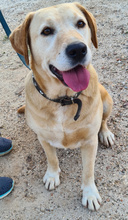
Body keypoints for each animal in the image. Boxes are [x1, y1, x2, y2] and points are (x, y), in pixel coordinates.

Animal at [9, 2, 114, 211]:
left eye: (80, 23)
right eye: (46, 31)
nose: (78, 49)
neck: (64, 100)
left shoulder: (90, 142)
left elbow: (88, 171)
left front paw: (90, 194)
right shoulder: (44, 138)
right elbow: (52, 158)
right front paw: (52, 175)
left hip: (107, 100)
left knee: (104, 121)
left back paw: (106, 133)